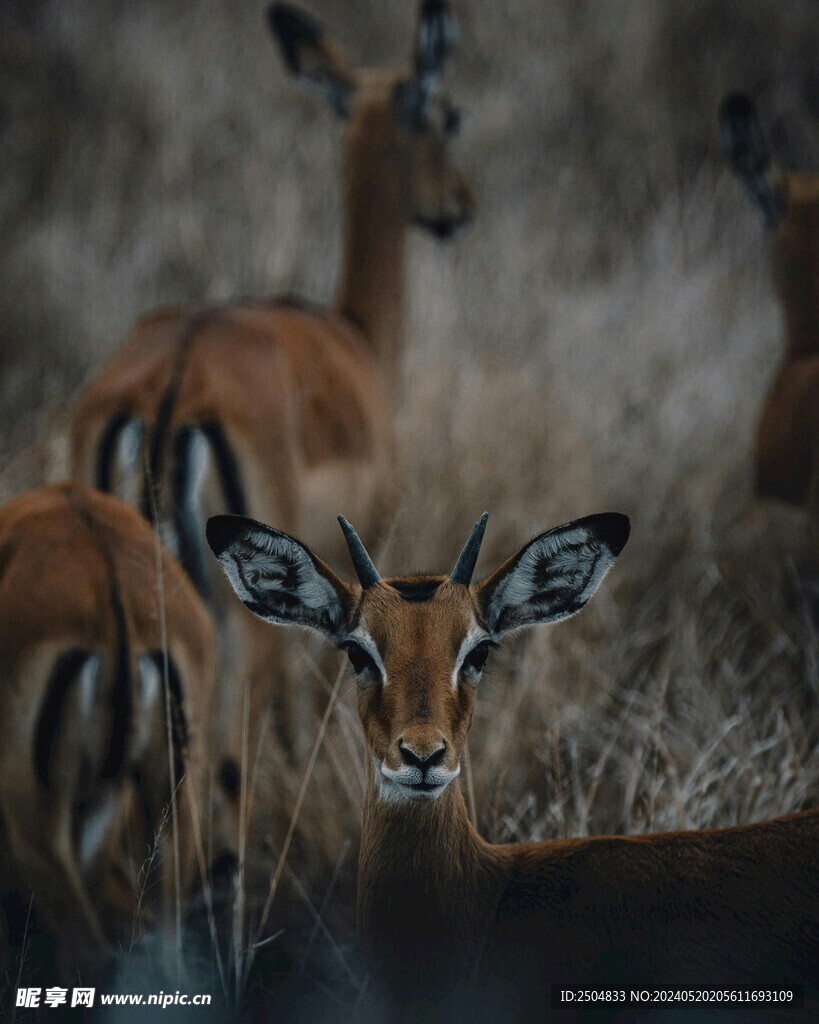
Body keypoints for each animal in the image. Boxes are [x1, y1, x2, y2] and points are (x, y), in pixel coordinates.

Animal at [68, 0, 474, 785]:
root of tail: (168, 394)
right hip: (237, 623)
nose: (461, 207)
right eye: (449, 115)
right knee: (225, 756)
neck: (355, 337)